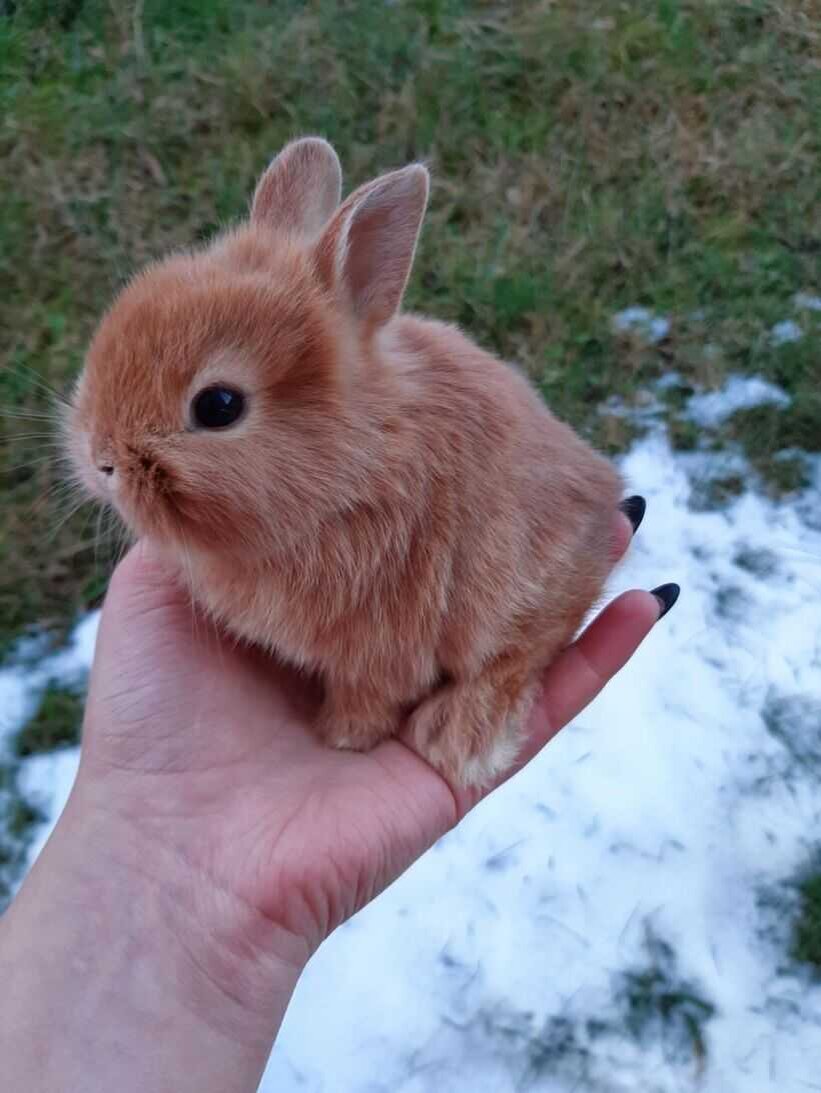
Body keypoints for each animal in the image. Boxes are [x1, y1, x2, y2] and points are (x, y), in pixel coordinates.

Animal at [67, 136, 625, 786]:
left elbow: (371, 697)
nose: (102, 460)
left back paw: (460, 738)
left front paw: (342, 739)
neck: (355, 462)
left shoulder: (382, 648)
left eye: (219, 406)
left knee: (524, 648)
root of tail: (606, 490)